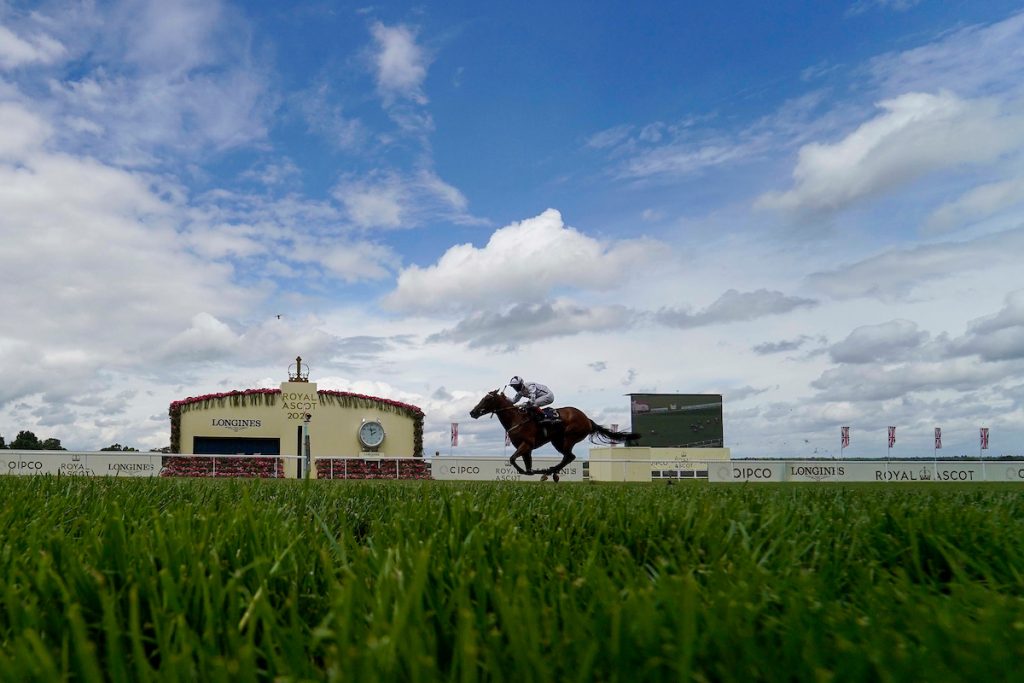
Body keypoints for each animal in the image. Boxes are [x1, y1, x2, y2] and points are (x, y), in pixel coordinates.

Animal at [471, 389, 638, 481]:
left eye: (487, 399)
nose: (472, 412)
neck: (516, 418)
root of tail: (588, 420)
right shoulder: (525, 448)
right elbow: (526, 464)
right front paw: (529, 471)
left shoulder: (527, 444)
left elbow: (512, 459)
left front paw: (527, 472)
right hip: (557, 441)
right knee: (567, 457)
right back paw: (550, 472)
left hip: (569, 437)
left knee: (569, 456)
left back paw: (549, 472)